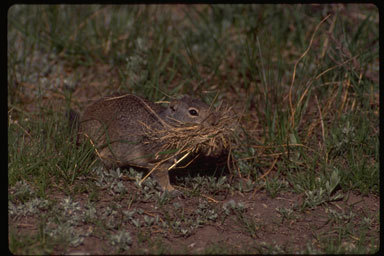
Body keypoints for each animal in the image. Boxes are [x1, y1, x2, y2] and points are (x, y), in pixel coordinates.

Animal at [78, 94, 219, 192]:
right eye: (193, 112)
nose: (214, 121)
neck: (167, 124)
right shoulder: (158, 160)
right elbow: (162, 177)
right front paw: (171, 190)